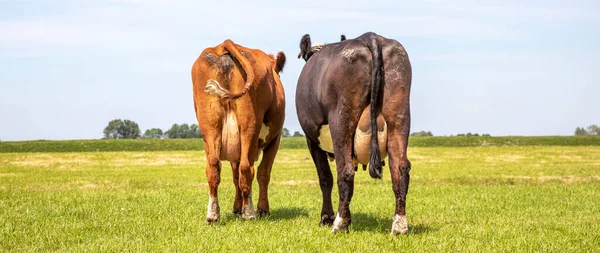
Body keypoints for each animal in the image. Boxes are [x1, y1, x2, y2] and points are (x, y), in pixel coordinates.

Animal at [192, 40, 286, 223]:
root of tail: (225, 44)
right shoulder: (275, 139)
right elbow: (263, 173)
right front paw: (262, 209)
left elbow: (235, 178)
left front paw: (237, 208)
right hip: (248, 126)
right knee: (246, 168)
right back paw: (249, 212)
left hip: (210, 126)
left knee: (213, 167)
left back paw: (213, 215)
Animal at [296, 32, 412, 234]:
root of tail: (370, 37)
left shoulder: (311, 139)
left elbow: (325, 178)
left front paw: (326, 217)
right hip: (399, 113)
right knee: (400, 169)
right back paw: (399, 225)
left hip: (341, 118)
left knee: (346, 171)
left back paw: (340, 223)